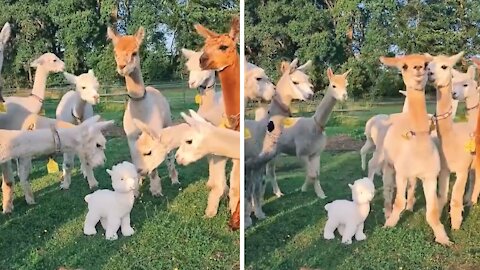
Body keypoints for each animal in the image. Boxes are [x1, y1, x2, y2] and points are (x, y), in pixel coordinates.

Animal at [264, 67, 350, 198]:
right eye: (334, 85)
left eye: (346, 84)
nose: (344, 96)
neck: (314, 127)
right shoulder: (301, 153)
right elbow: (312, 175)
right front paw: (305, 189)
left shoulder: (316, 153)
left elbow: (316, 174)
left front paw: (319, 194)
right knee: (270, 171)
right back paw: (278, 193)